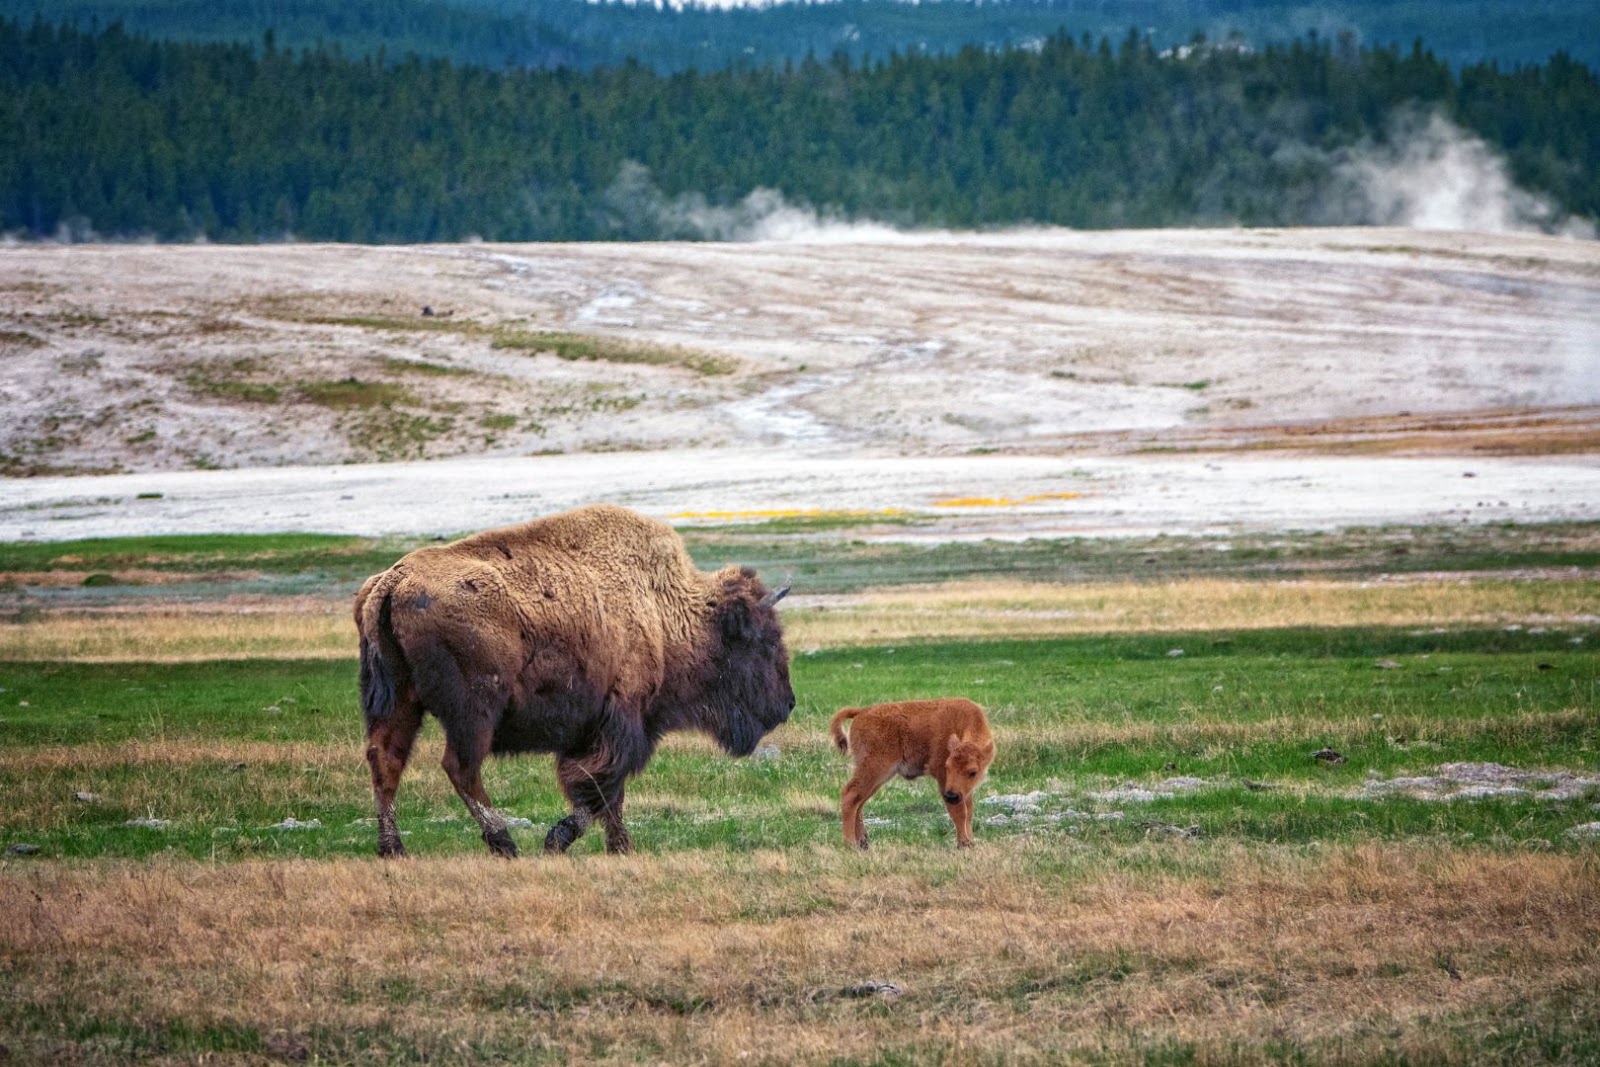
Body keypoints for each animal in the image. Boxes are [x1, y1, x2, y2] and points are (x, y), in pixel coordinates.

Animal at [354, 504, 794, 857]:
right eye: (765, 641)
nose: (787, 703)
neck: (664, 611)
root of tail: (392, 581)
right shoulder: (622, 723)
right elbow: (601, 786)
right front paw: (562, 840)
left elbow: (608, 794)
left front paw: (618, 847)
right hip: (474, 710)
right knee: (460, 767)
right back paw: (504, 843)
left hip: (400, 702)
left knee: (386, 760)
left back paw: (393, 849)